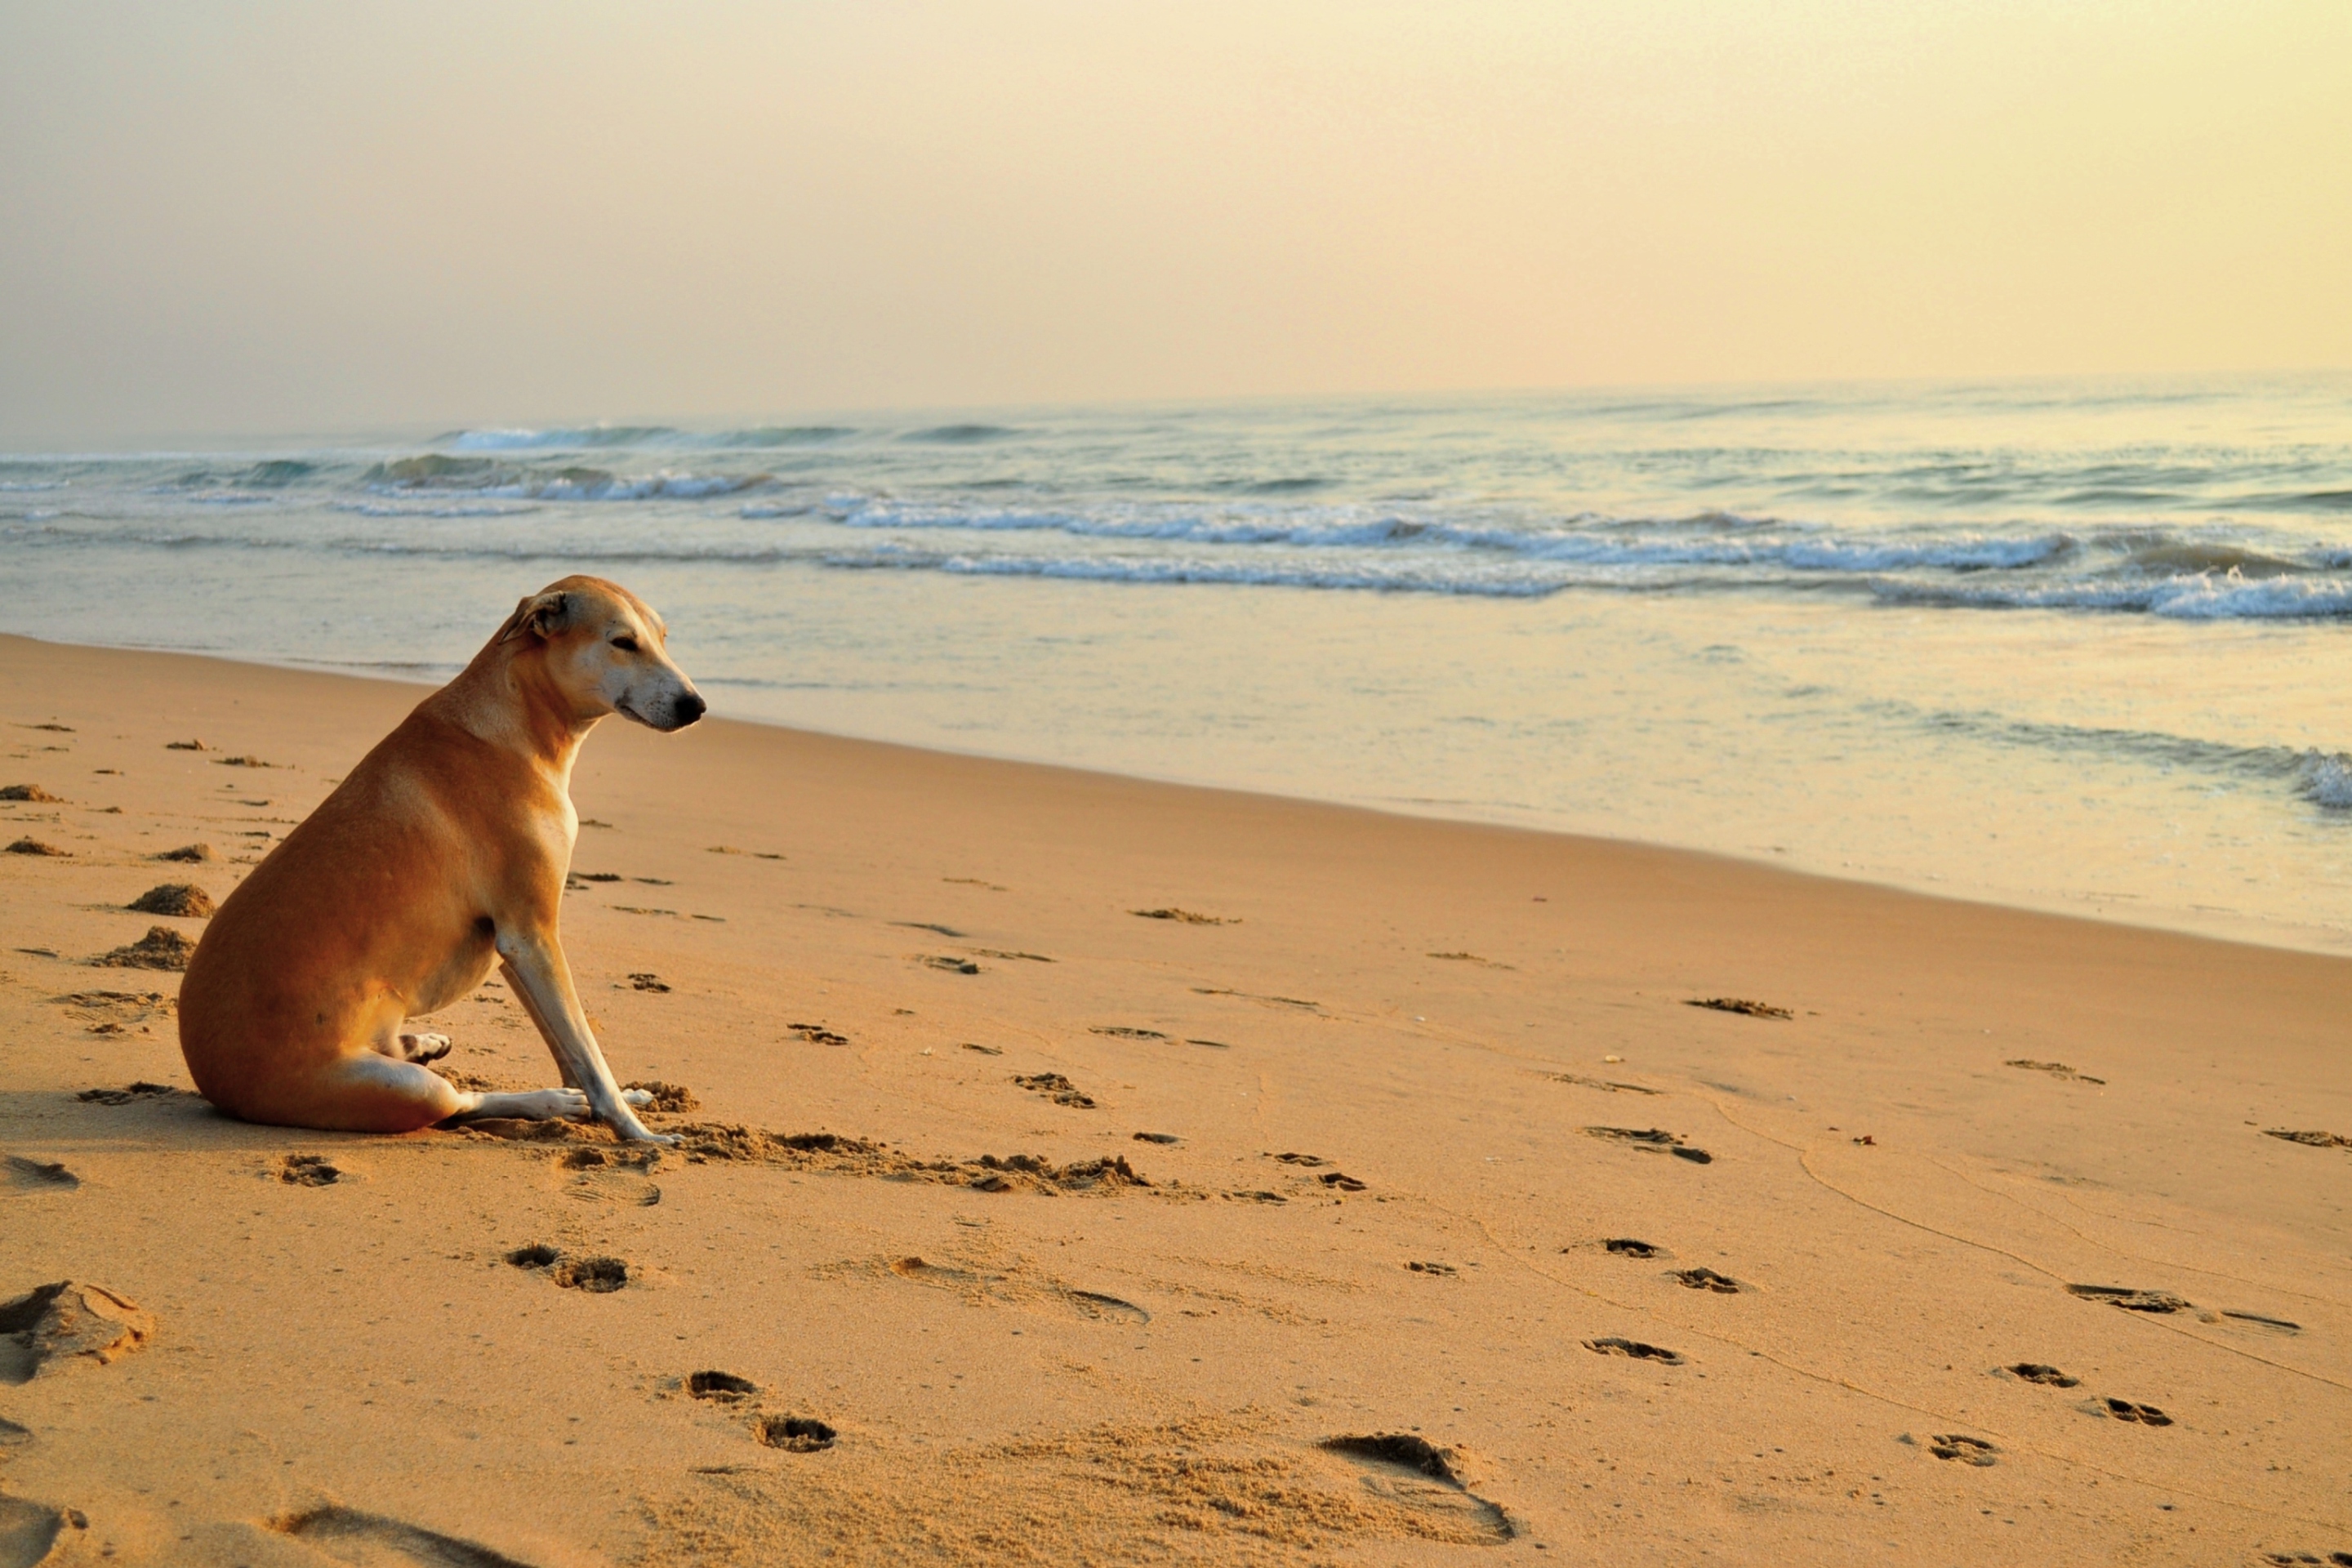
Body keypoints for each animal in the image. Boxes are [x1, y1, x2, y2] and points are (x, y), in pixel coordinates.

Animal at [178, 576, 701, 1142]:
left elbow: (571, 1050)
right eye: (622, 642)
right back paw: (548, 1101)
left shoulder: (518, 948)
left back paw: (422, 1044)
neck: (512, 724)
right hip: (398, 1088)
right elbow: (587, 1053)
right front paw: (634, 1129)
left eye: (663, 638)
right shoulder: (532, 934)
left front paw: (618, 1100)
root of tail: (212, 1080)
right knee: (459, 1103)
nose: (696, 706)